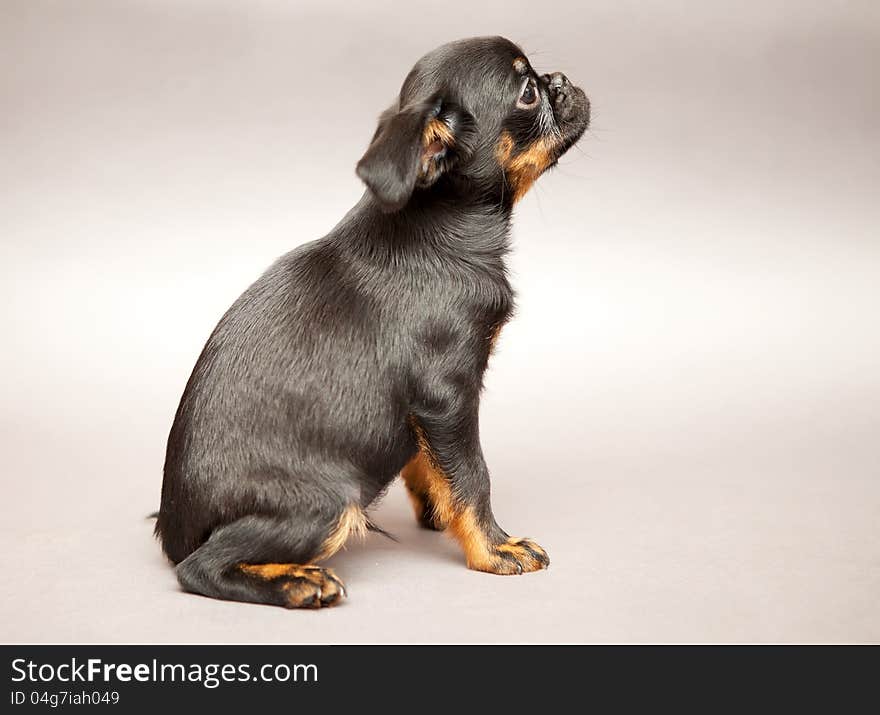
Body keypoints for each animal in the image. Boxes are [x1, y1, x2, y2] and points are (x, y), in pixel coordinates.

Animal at [156, 35, 592, 608]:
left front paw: (439, 513)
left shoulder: (426, 411)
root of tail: (173, 534)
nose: (560, 79)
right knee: (200, 568)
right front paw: (493, 548)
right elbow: (473, 476)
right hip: (332, 500)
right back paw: (299, 582)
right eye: (527, 93)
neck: (442, 224)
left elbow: (431, 464)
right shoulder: (448, 394)